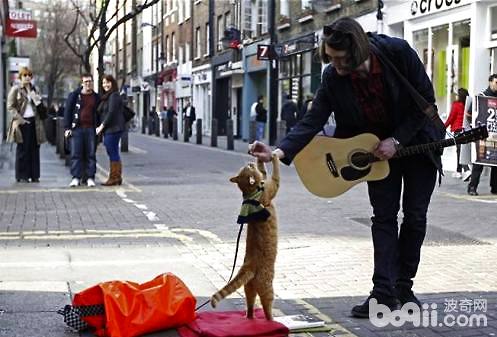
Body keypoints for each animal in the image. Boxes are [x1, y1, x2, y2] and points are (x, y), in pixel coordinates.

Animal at [209, 154, 280, 318]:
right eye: (249, 168)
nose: (249, 161)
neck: (251, 193)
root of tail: (249, 264)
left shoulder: (264, 180)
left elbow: (264, 171)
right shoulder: (272, 186)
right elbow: (275, 174)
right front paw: (274, 156)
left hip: (249, 288)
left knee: (250, 305)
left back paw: (250, 317)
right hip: (267, 287)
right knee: (267, 307)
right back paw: (271, 319)